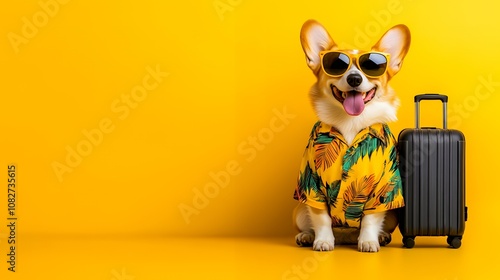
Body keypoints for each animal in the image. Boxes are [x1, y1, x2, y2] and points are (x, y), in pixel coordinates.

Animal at [292, 19, 410, 252]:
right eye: (336, 64)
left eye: (372, 66)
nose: (354, 78)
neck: (351, 122)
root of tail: (345, 236)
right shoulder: (311, 186)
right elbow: (321, 219)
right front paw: (323, 241)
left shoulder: (384, 189)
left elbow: (370, 220)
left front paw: (369, 241)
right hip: (299, 210)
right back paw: (307, 236)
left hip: (393, 213)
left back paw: (381, 236)